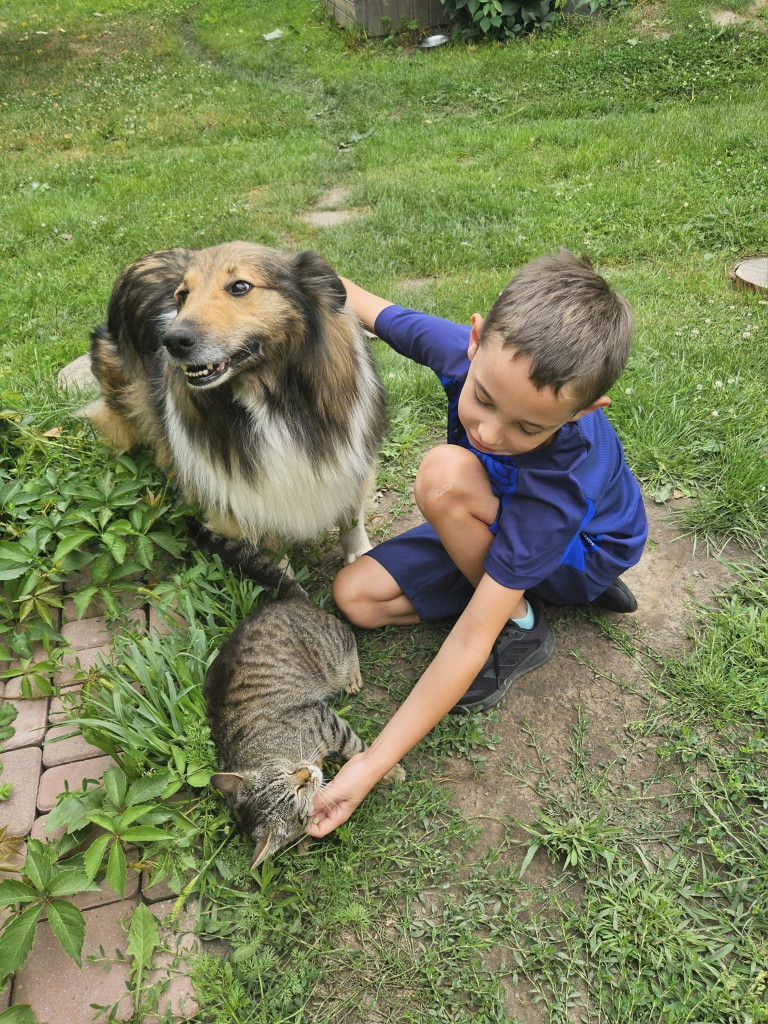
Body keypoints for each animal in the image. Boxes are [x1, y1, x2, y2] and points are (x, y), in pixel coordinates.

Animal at [82, 241, 391, 561]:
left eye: (240, 286)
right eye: (183, 295)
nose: (172, 341)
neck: (271, 398)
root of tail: (143, 259)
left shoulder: (350, 462)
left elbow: (352, 518)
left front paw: (360, 558)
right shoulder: (245, 495)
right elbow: (272, 555)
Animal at [198, 528, 403, 872]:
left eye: (288, 776)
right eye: (296, 796)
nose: (307, 773)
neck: (279, 749)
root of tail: (285, 599)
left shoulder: (324, 719)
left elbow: (357, 747)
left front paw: (388, 769)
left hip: (330, 652)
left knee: (348, 635)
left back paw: (352, 675)